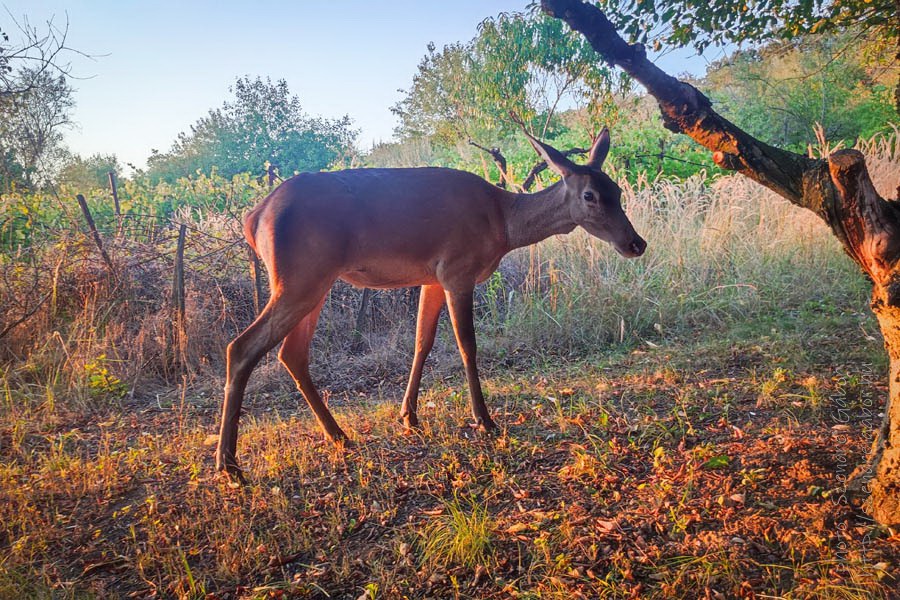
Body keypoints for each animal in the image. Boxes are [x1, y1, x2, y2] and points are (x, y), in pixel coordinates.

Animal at [215, 126, 646, 477]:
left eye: (617, 191)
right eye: (590, 195)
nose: (636, 243)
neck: (503, 224)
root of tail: (253, 219)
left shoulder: (432, 278)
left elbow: (422, 341)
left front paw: (408, 415)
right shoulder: (458, 269)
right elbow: (467, 345)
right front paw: (484, 419)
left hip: (312, 282)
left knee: (291, 353)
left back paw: (338, 435)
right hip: (300, 276)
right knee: (242, 347)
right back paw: (229, 463)